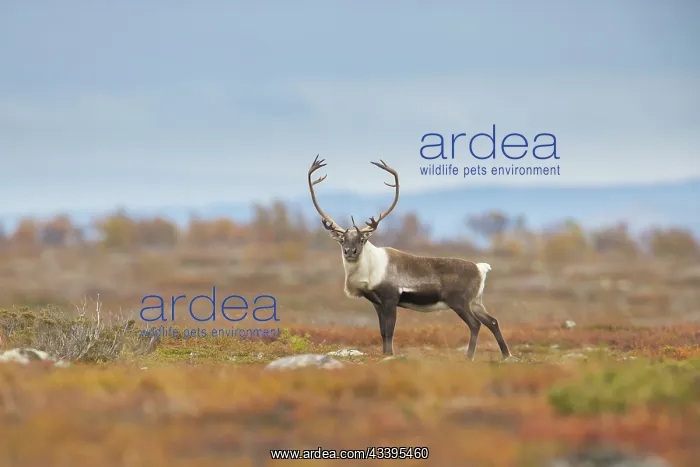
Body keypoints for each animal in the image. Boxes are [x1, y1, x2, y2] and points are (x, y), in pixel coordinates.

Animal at [307, 155, 514, 361]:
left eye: (362, 239)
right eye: (342, 240)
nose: (350, 252)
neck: (370, 270)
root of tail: (481, 268)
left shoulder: (391, 298)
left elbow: (390, 330)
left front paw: (390, 355)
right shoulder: (376, 302)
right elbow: (382, 331)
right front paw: (385, 354)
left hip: (459, 301)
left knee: (475, 324)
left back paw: (469, 357)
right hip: (476, 301)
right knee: (492, 321)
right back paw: (505, 355)